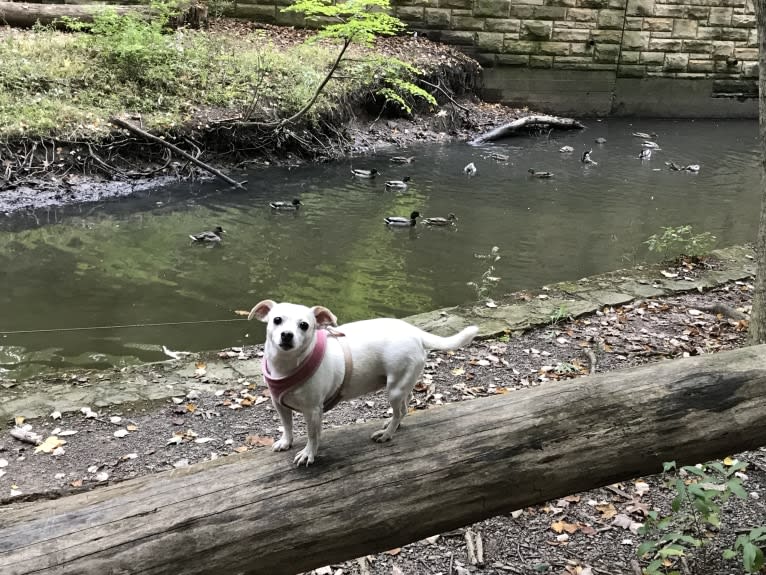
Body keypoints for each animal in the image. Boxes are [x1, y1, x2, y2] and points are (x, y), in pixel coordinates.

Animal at [249, 302, 480, 468]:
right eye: (277, 320)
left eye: (304, 325)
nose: (287, 335)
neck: (287, 365)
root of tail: (415, 332)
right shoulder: (279, 404)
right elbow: (287, 425)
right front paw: (286, 441)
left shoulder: (313, 411)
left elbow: (312, 435)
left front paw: (308, 453)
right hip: (402, 385)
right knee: (405, 408)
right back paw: (392, 426)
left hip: (394, 389)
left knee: (399, 411)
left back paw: (386, 434)